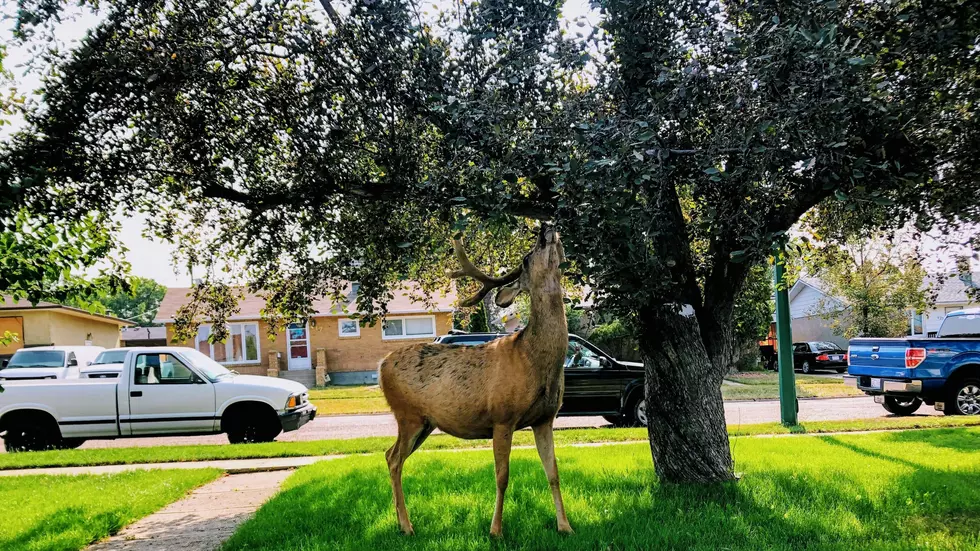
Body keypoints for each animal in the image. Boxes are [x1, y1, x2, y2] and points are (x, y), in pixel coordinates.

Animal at [378, 223, 572, 537]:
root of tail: (381, 365)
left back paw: (400, 522)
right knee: (395, 459)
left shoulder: (545, 419)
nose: (545, 228)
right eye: (526, 258)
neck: (533, 360)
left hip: (424, 422)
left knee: (389, 454)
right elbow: (502, 476)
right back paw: (408, 526)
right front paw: (496, 531)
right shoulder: (503, 417)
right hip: (408, 414)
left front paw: (565, 526)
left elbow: (553, 473)